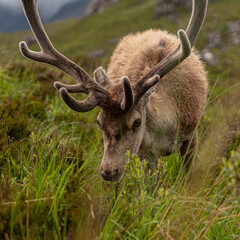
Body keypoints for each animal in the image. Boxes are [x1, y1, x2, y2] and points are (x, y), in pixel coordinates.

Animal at [19, 0, 208, 181]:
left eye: (137, 122)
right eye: (99, 122)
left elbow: (185, 179)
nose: (108, 172)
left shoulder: (192, 136)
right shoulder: (145, 152)